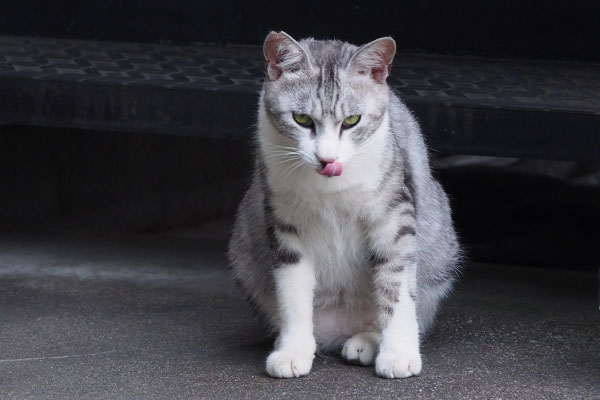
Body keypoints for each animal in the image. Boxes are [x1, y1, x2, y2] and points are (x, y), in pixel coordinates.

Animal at [227, 31, 462, 378]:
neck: (329, 191)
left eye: (352, 120)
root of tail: (340, 331)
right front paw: (293, 350)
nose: (327, 159)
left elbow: (396, 288)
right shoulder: (285, 224)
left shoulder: (395, 217)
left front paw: (398, 353)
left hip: (440, 255)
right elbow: (293, 293)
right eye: (301, 119)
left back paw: (367, 341)